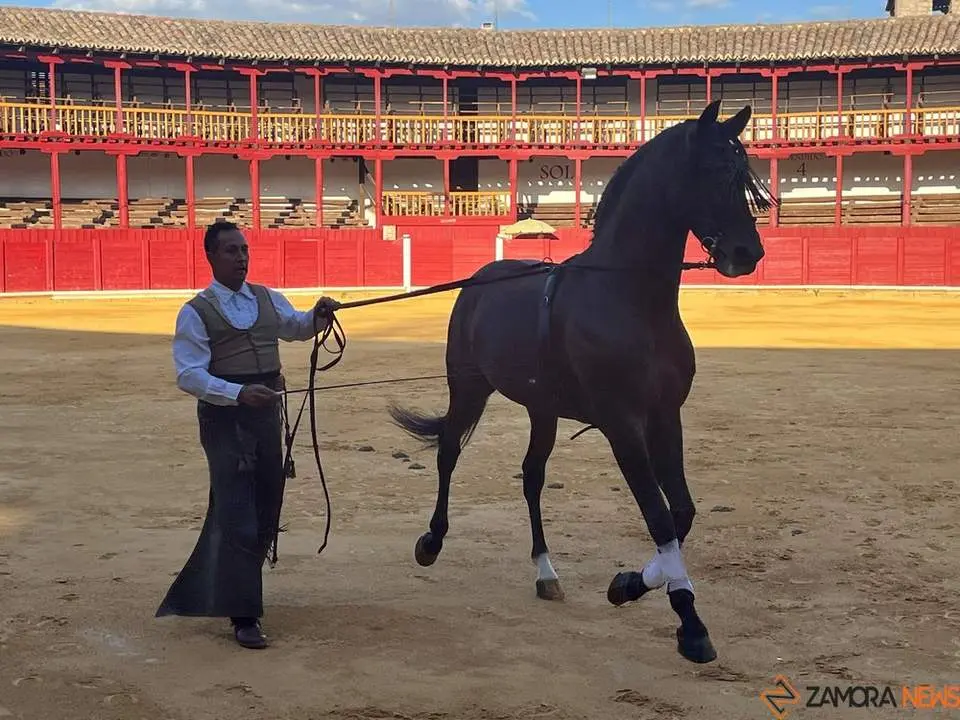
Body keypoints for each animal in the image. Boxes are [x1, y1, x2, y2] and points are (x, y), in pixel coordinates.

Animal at [387, 99, 774, 664]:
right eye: (713, 171)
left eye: (744, 175)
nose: (748, 254)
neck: (632, 300)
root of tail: (480, 279)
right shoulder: (622, 425)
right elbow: (660, 517)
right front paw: (690, 622)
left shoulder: (665, 417)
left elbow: (681, 511)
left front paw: (628, 584)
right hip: (468, 388)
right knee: (448, 452)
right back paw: (431, 543)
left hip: (542, 409)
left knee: (531, 475)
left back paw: (546, 572)